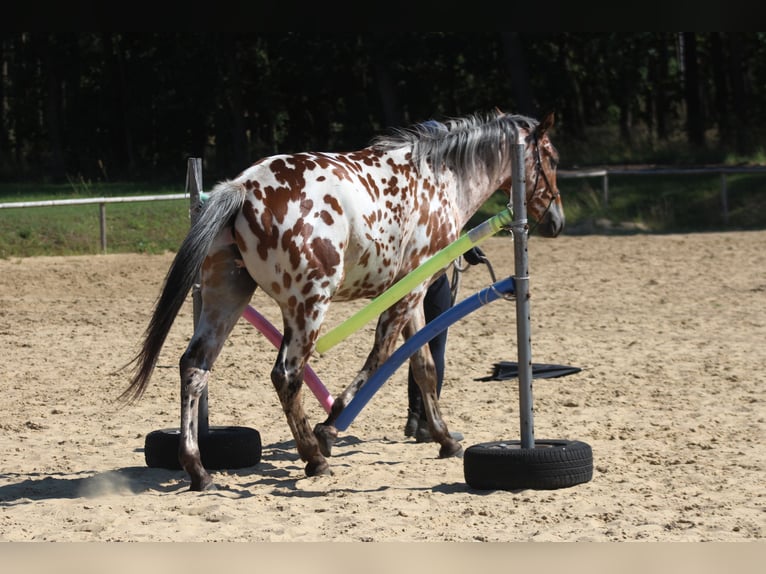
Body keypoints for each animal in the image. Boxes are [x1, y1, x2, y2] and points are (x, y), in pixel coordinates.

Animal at [123, 110, 568, 492]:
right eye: (552, 156)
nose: (557, 221)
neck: (442, 177)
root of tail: (243, 188)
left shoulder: (412, 295)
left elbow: (422, 367)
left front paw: (444, 438)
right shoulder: (411, 291)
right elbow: (381, 358)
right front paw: (330, 428)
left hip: (227, 296)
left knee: (195, 367)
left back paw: (198, 469)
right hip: (308, 306)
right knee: (286, 375)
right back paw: (313, 456)